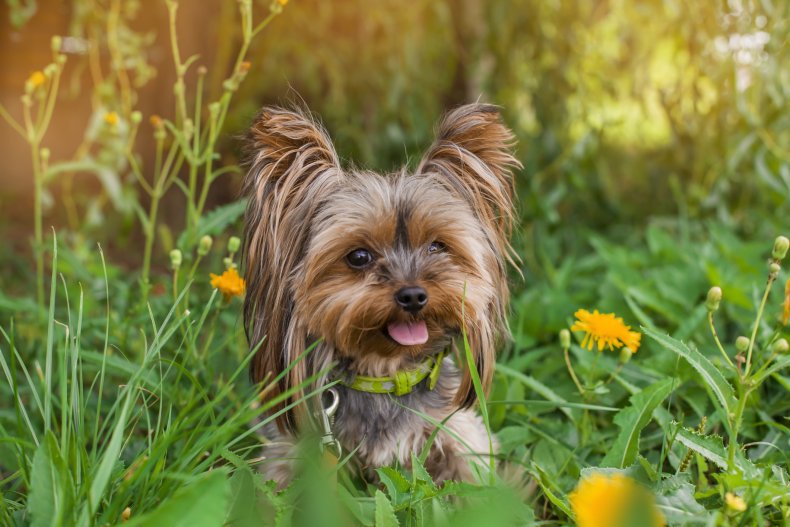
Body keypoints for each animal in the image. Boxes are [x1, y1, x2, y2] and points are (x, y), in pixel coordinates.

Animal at [244, 102, 524, 486]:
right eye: (359, 256)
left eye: (437, 246)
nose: (414, 296)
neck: (385, 377)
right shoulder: (292, 451)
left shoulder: (460, 436)